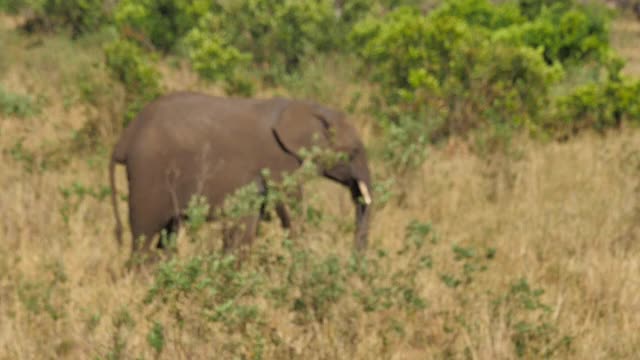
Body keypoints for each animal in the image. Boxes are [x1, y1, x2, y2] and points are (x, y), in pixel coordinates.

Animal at [108, 90, 372, 258]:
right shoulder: (278, 159)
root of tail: (124, 140)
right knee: (144, 237)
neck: (309, 108)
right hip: (148, 175)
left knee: (168, 235)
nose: (354, 257)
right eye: (353, 152)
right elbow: (290, 208)